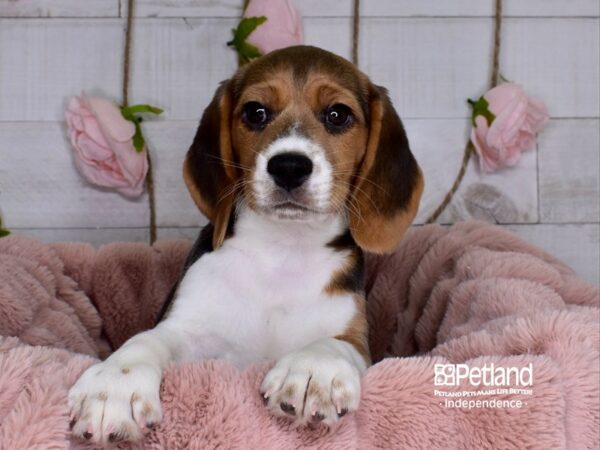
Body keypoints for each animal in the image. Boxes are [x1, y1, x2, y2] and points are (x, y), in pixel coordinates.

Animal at [68, 45, 422, 442]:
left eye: (337, 115)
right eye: (256, 112)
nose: (289, 166)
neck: (283, 250)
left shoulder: (356, 339)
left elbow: (334, 344)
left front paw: (312, 371)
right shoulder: (189, 329)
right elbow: (148, 339)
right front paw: (114, 384)